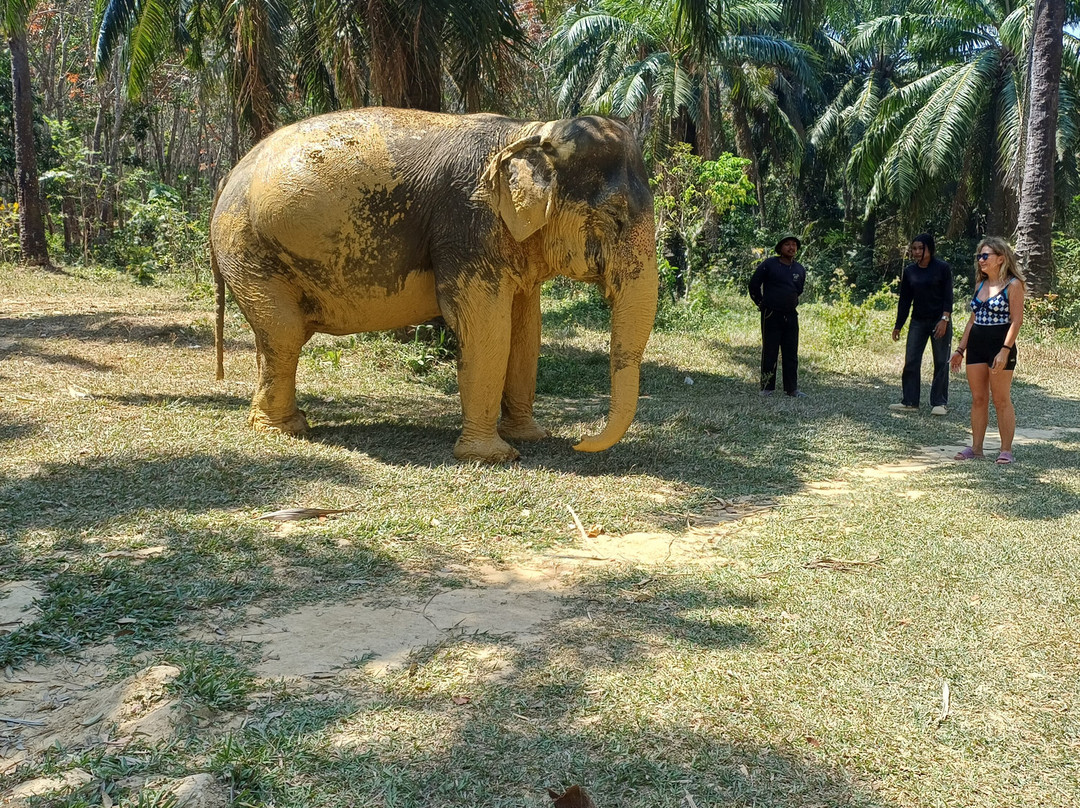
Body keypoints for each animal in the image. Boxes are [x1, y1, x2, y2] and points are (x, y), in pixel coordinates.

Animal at [210, 107, 658, 463]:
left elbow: (526, 330)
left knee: (272, 338)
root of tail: (228, 176)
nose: (579, 444)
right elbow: (486, 330)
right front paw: (493, 458)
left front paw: (531, 437)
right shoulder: (467, 226)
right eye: (614, 216)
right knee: (284, 335)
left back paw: (286, 422)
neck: (529, 129)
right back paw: (284, 431)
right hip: (248, 247)